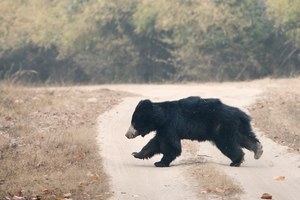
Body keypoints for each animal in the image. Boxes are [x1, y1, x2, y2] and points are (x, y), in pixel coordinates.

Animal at [125, 96, 262, 167]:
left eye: (134, 123)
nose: (127, 135)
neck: (160, 118)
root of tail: (240, 114)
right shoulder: (163, 129)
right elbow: (155, 143)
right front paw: (136, 154)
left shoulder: (170, 126)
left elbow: (171, 146)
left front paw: (160, 162)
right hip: (236, 127)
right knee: (244, 137)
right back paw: (258, 150)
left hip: (220, 127)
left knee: (228, 144)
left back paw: (236, 161)